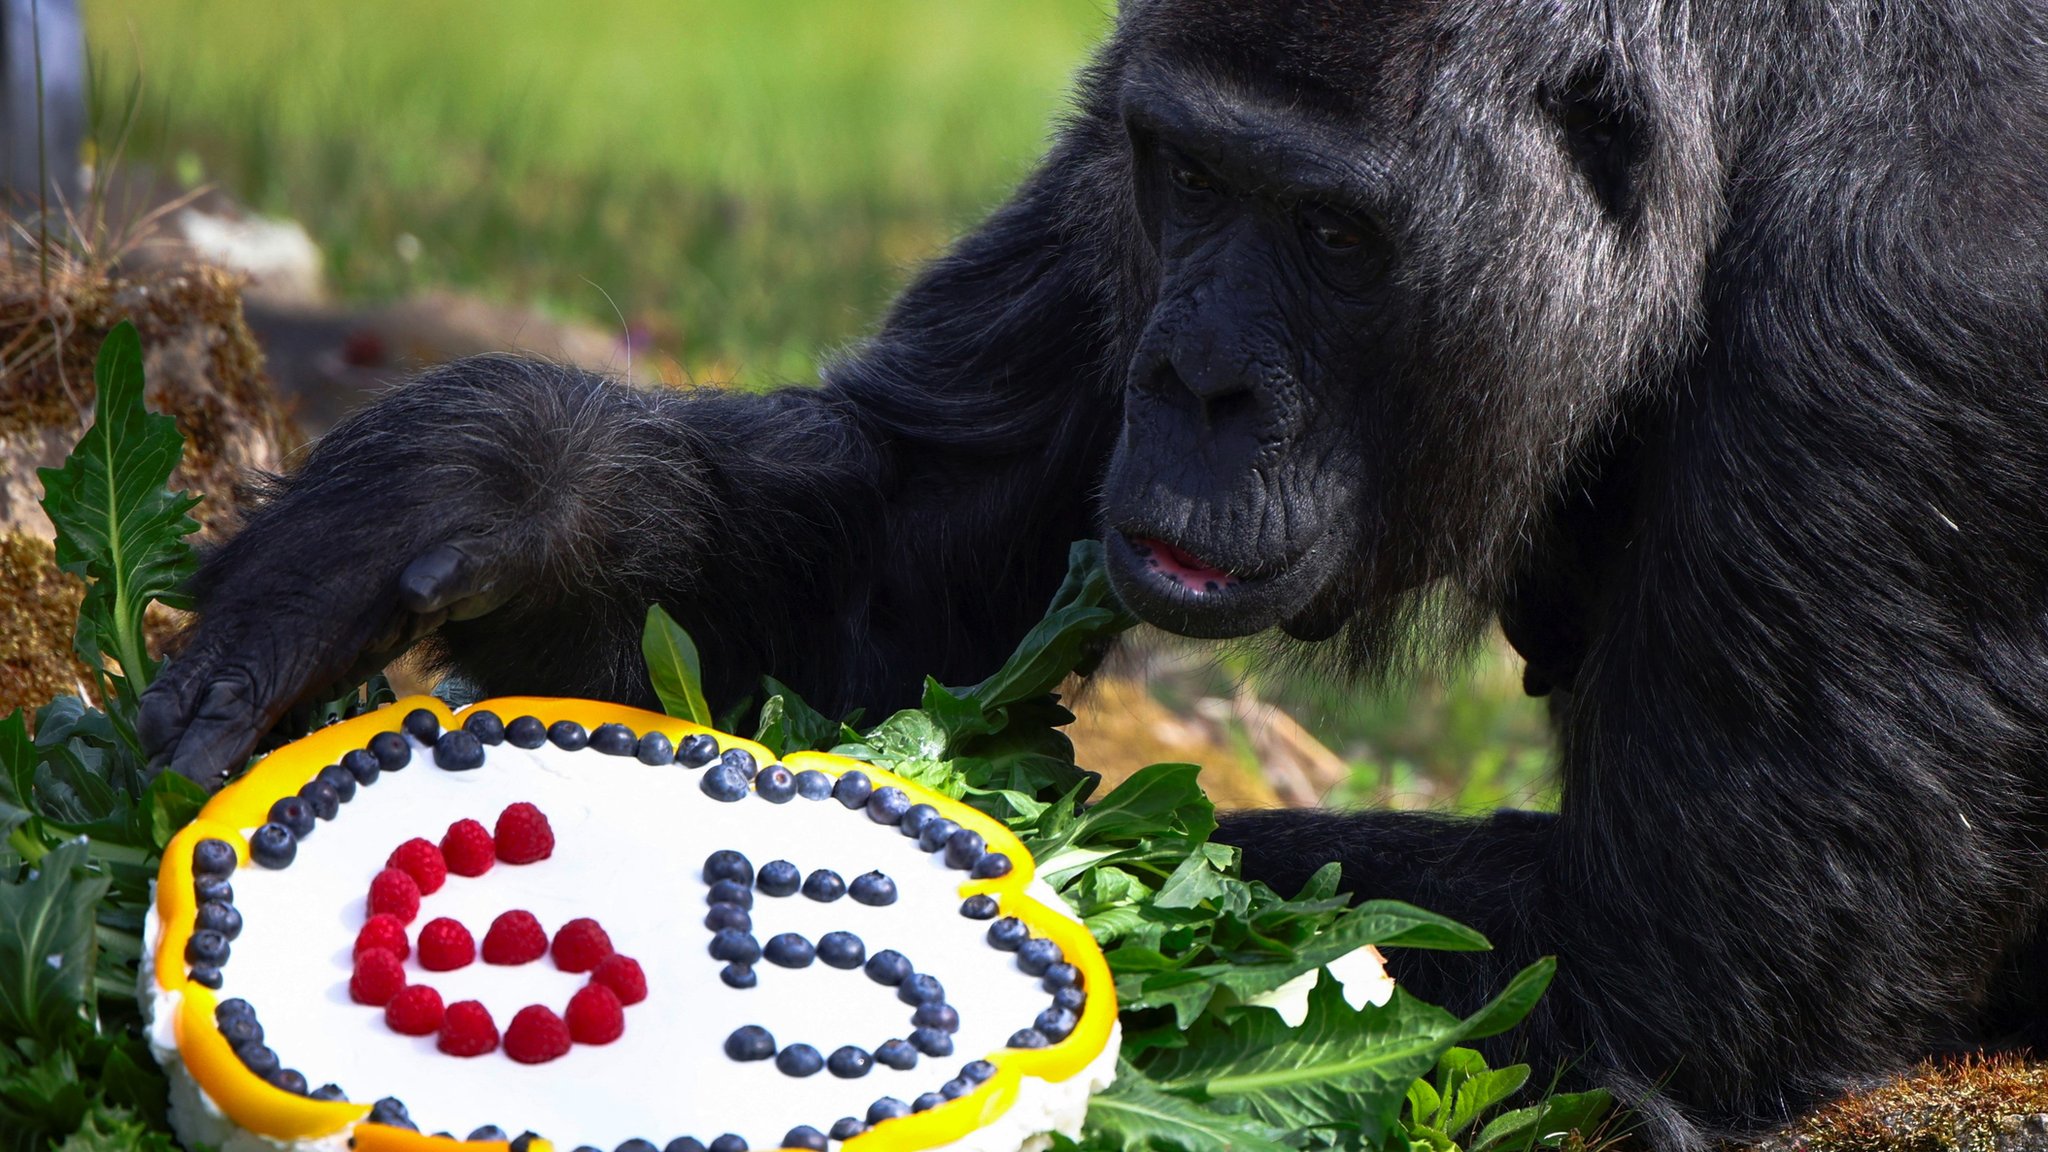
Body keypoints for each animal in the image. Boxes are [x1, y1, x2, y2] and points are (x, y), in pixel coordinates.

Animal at [140, 0, 2048, 1139]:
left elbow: (1667, 1003)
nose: (1192, 377)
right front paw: (481, 473)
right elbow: (886, 572)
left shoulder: (1899, 331)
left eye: (1333, 233)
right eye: (1191, 176)